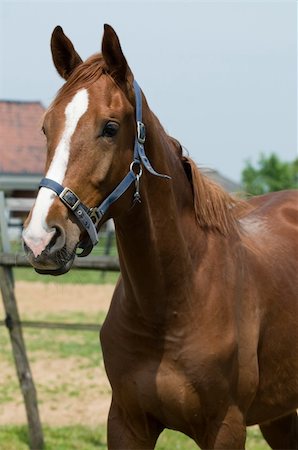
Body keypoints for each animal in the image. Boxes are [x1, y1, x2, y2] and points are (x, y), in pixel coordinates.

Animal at [23, 25, 298, 450]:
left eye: (110, 128)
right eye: (46, 127)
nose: (41, 238)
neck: (172, 303)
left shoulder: (226, 427)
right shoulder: (126, 422)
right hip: (279, 415)